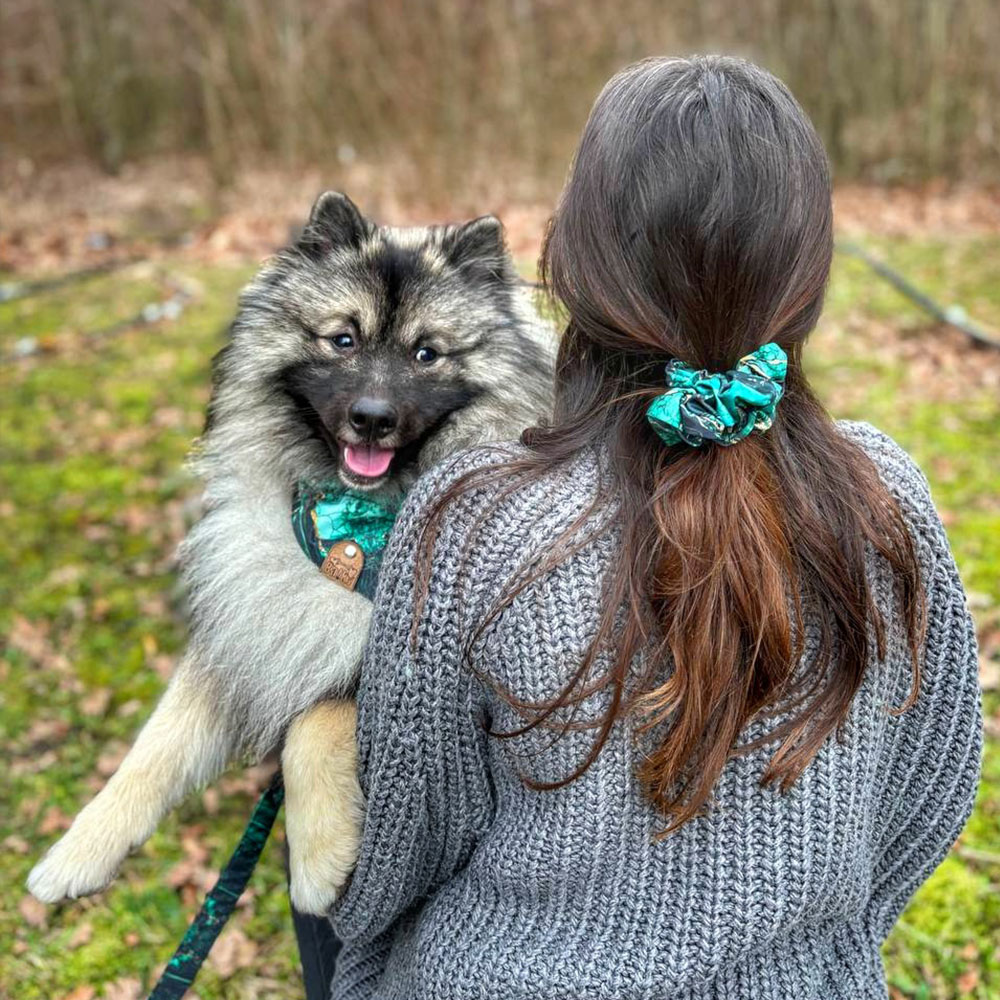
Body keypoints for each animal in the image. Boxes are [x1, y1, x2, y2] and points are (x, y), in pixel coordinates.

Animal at [25, 191, 556, 916]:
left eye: (426, 353)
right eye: (343, 339)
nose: (372, 418)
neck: (359, 525)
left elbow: (314, 716)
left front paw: (319, 858)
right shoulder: (262, 614)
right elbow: (157, 742)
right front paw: (79, 850)